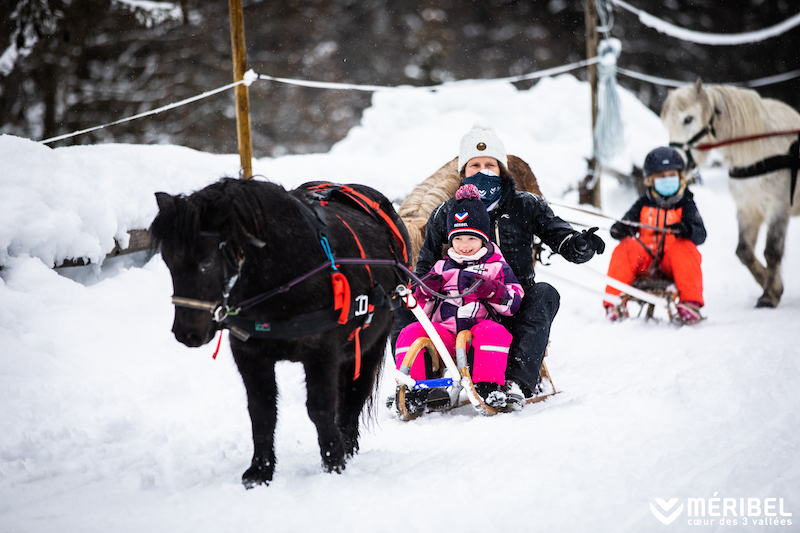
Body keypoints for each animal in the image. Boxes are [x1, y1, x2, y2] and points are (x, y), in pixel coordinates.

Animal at [150, 178, 410, 486]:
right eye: (168, 262)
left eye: (206, 263)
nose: (186, 333)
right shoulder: (249, 353)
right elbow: (262, 412)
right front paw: (260, 471)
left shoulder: (321, 352)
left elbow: (320, 408)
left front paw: (334, 462)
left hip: (371, 344)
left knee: (355, 395)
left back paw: (347, 445)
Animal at [664, 81, 800, 310]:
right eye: (666, 123)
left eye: (688, 119)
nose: (676, 161)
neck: (758, 152)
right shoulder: (747, 208)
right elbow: (743, 251)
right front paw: (772, 286)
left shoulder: (779, 207)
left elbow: (772, 251)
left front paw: (769, 296)